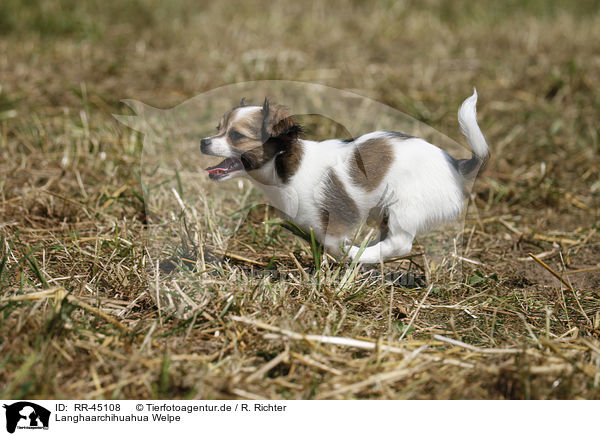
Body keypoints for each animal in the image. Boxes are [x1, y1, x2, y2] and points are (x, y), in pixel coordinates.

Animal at [199, 89, 490, 262]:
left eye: (236, 136)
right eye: (218, 128)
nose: (203, 141)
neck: (285, 170)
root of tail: (454, 164)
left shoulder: (334, 224)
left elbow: (333, 245)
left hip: (406, 206)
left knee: (399, 244)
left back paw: (359, 254)